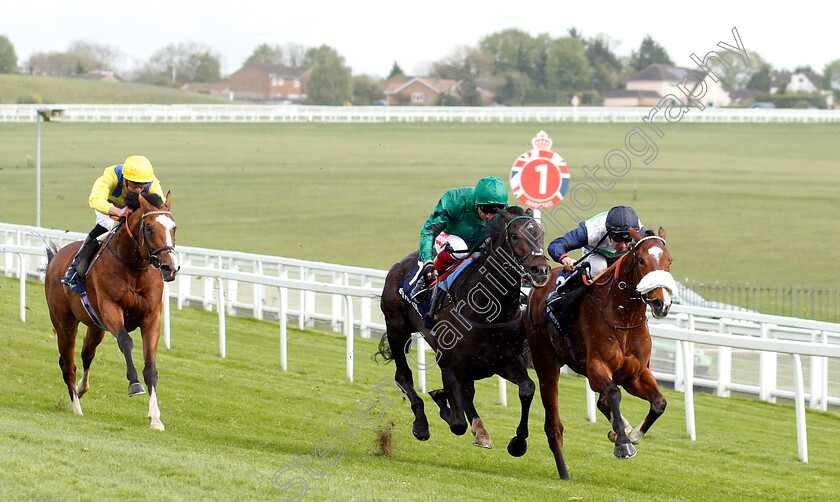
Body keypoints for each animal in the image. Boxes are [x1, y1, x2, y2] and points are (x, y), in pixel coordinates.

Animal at [44, 194, 179, 430]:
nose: (170, 267)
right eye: (149, 228)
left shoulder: (151, 318)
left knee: (87, 353)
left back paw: (82, 389)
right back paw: (77, 408)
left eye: (174, 227)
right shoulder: (110, 309)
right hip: (64, 324)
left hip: (95, 326)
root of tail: (55, 258)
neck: (134, 268)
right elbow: (125, 341)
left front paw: (155, 418)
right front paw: (134, 384)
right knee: (68, 364)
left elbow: (150, 367)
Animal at [524, 226, 676, 478]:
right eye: (641, 260)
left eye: (669, 260)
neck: (624, 317)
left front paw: (633, 434)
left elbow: (659, 403)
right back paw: (564, 471)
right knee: (554, 424)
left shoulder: (635, 374)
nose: (660, 303)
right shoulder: (597, 365)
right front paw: (624, 444)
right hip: (545, 360)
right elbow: (614, 394)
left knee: (602, 402)